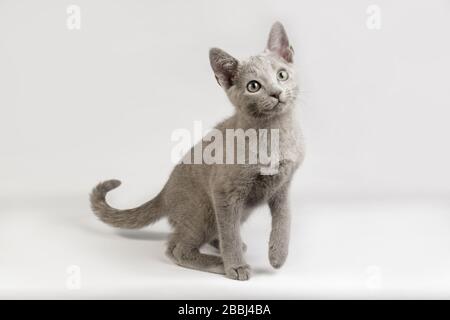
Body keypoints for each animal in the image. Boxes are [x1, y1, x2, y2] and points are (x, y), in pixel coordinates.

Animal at [89, 21, 304, 280]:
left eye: (282, 74)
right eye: (254, 86)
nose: (276, 93)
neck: (274, 133)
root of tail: (165, 191)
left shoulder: (282, 186)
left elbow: (284, 219)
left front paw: (278, 255)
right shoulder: (224, 192)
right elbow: (229, 233)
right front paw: (235, 266)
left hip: (236, 211)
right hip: (203, 212)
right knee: (177, 248)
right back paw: (219, 262)